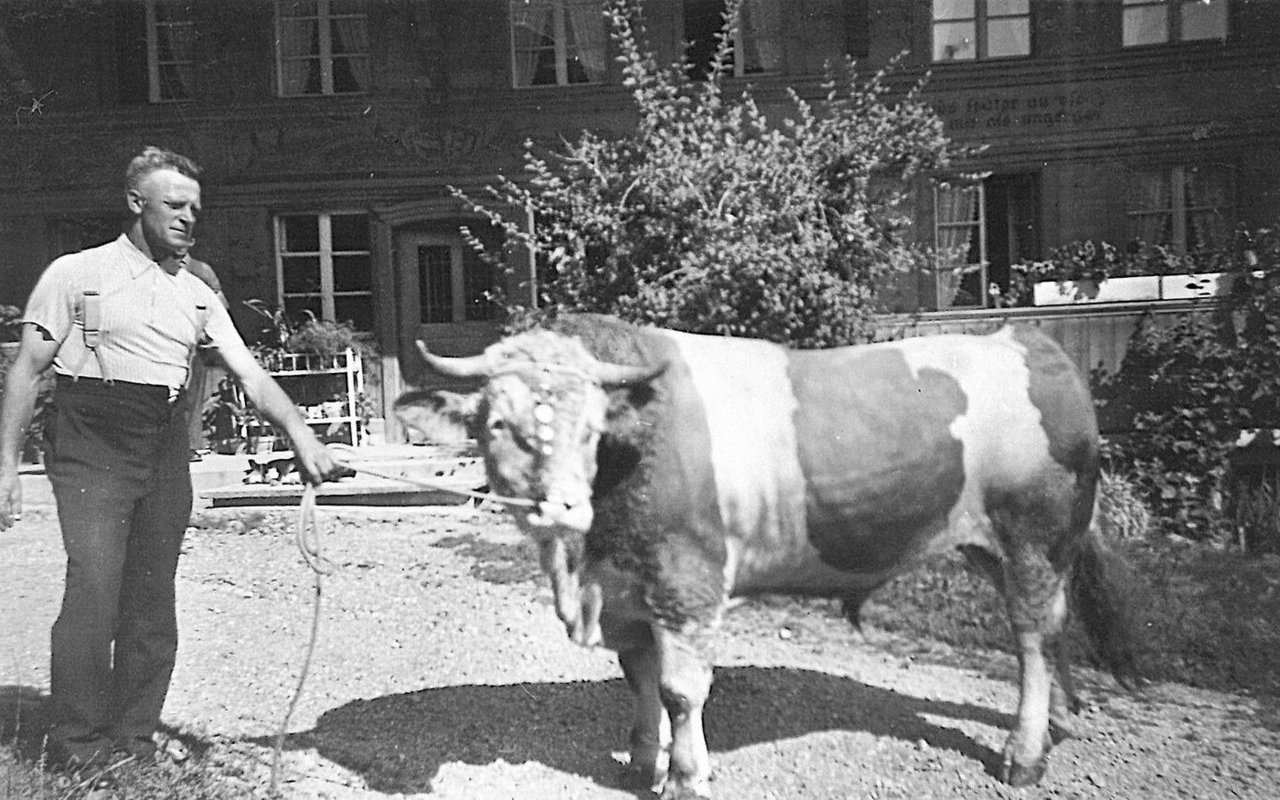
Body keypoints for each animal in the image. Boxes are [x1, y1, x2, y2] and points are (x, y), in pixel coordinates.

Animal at [394, 312, 1136, 798]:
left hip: (1036, 535)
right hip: (998, 545)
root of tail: (1025, 339)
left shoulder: (686, 583)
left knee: (1034, 636)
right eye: (497, 422)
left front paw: (687, 776)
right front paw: (642, 763)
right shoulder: (631, 594)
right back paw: (1057, 723)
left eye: (592, 428)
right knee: (1046, 629)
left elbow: (680, 690)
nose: (561, 508)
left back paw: (1024, 754)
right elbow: (639, 679)